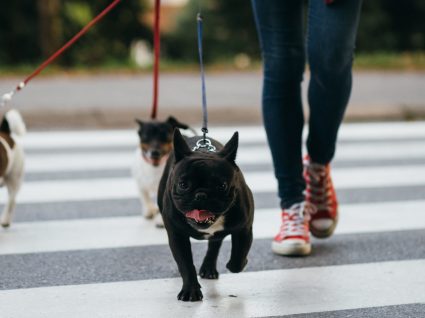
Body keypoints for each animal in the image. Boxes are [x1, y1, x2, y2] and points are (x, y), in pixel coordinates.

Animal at [157, 129, 253, 300]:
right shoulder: (177, 236)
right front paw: (190, 290)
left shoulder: (245, 229)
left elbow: (239, 255)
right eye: (183, 185)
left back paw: (209, 268)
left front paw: (237, 263)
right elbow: (186, 264)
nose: (201, 195)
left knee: (215, 243)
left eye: (222, 186)